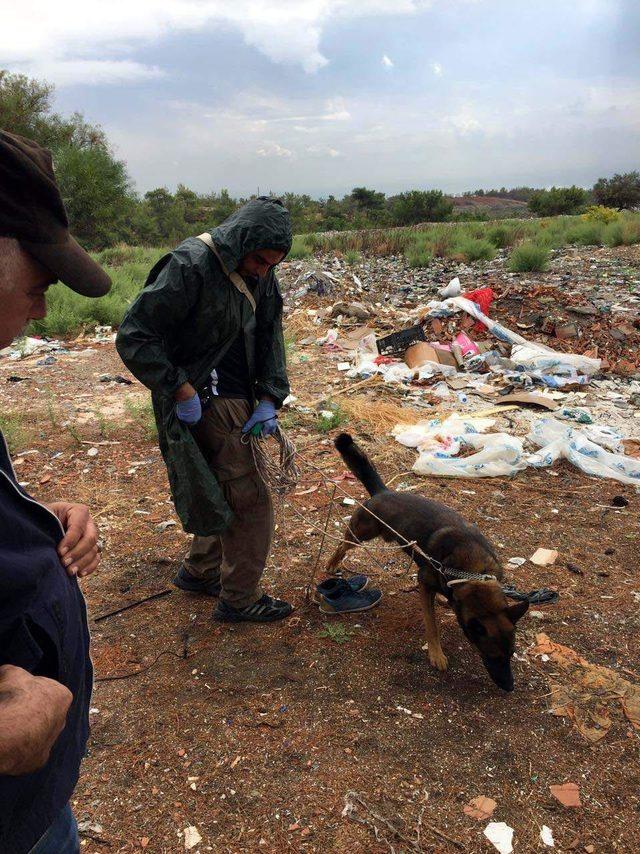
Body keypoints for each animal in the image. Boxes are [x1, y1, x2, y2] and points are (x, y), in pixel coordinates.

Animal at [328, 434, 528, 696]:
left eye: (511, 654)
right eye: (491, 655)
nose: (510, 687)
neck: (473, 573)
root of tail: (383, 491)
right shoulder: (423, 582)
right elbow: (431, 624)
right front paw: (436, 654)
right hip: (361, 532)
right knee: (342, 545)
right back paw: (332, 562)